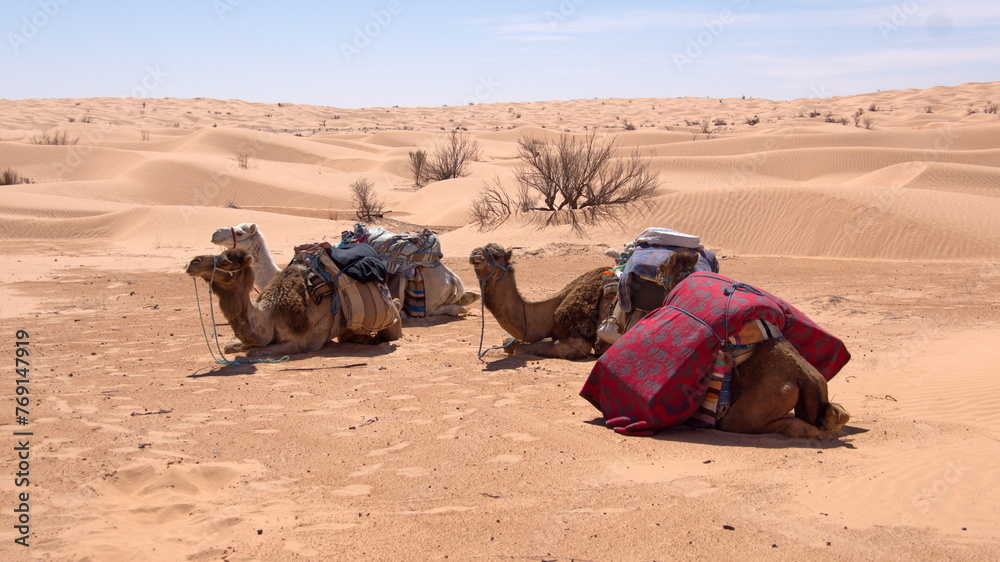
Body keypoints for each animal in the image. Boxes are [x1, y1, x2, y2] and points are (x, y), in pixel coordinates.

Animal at [186, 248, 402, 357]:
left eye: (225, 262)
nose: (193, 262)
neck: (271, 314)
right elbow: (234, 347)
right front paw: (235, 347)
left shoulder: (301, 343)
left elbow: (254, 352)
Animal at [655, 249, 851, 439]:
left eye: (663, 266)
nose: (656, 271)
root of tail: (804, 376)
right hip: (816, 385)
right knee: (832, 417)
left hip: (755, 407)